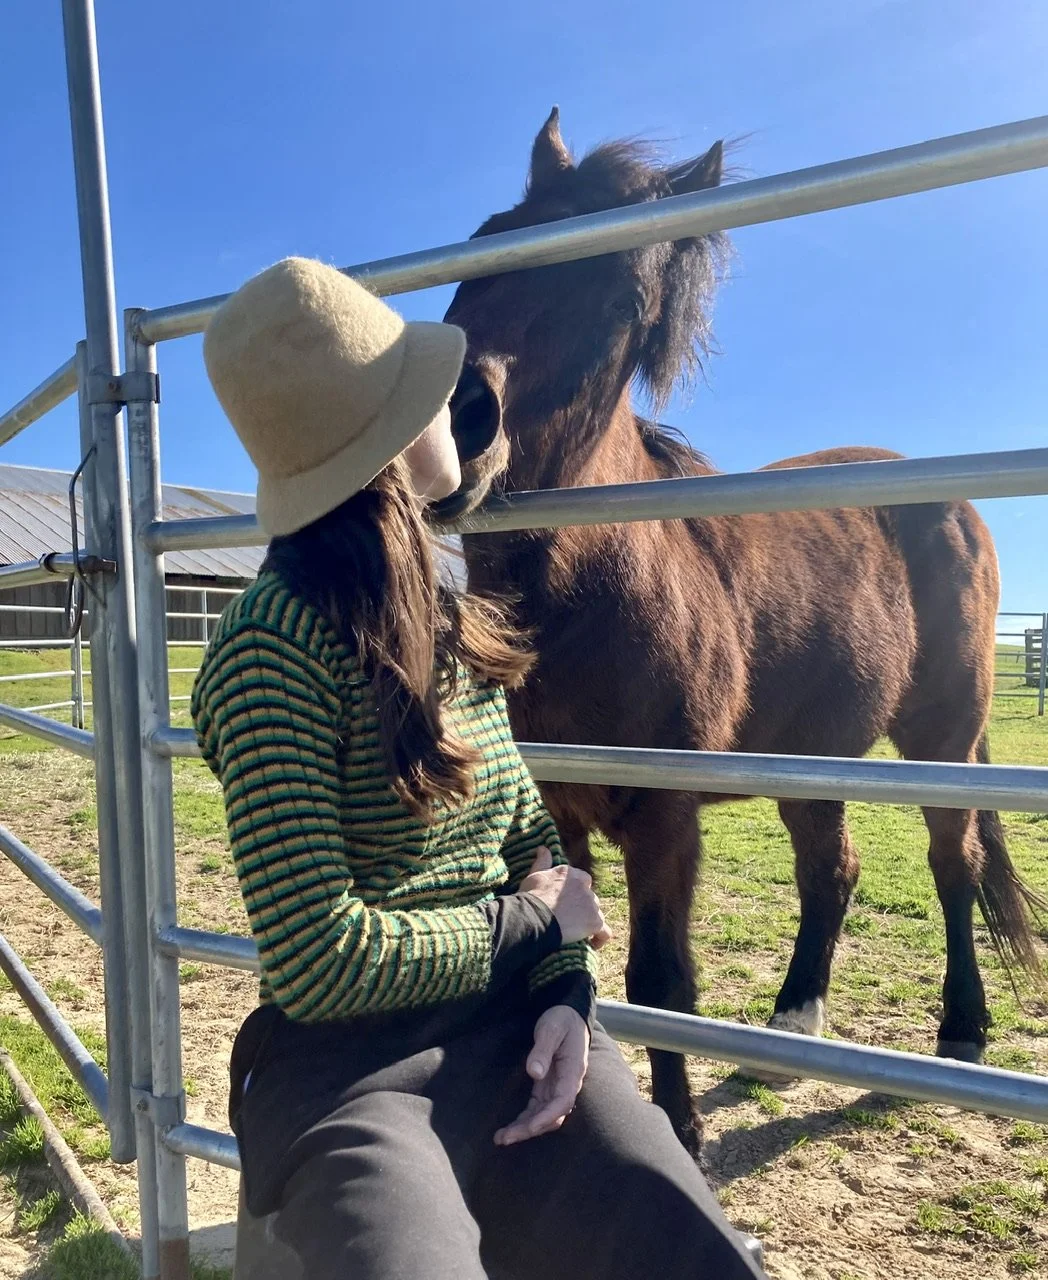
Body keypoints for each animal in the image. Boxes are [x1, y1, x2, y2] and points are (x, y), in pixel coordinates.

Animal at [432, 108, 1046, 1157]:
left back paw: (960, 1033)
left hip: (943, 738)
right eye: (487, 244)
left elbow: (659, 983)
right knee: (830, 869)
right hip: (813, 760)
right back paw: (790, 1030)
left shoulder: (665, 821)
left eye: (623, 301)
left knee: (951, 863)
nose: (453, 420)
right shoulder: (554, 812)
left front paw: (676, 1133)